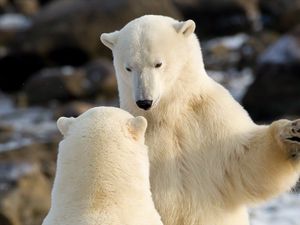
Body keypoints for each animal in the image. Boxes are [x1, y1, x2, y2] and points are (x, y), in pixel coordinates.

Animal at [101, 14, 300, 224]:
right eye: (128, 68)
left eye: (158, 64)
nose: (144, 101)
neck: (168, 112)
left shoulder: (211, 116)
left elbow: (245, 159)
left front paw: (291, 134)